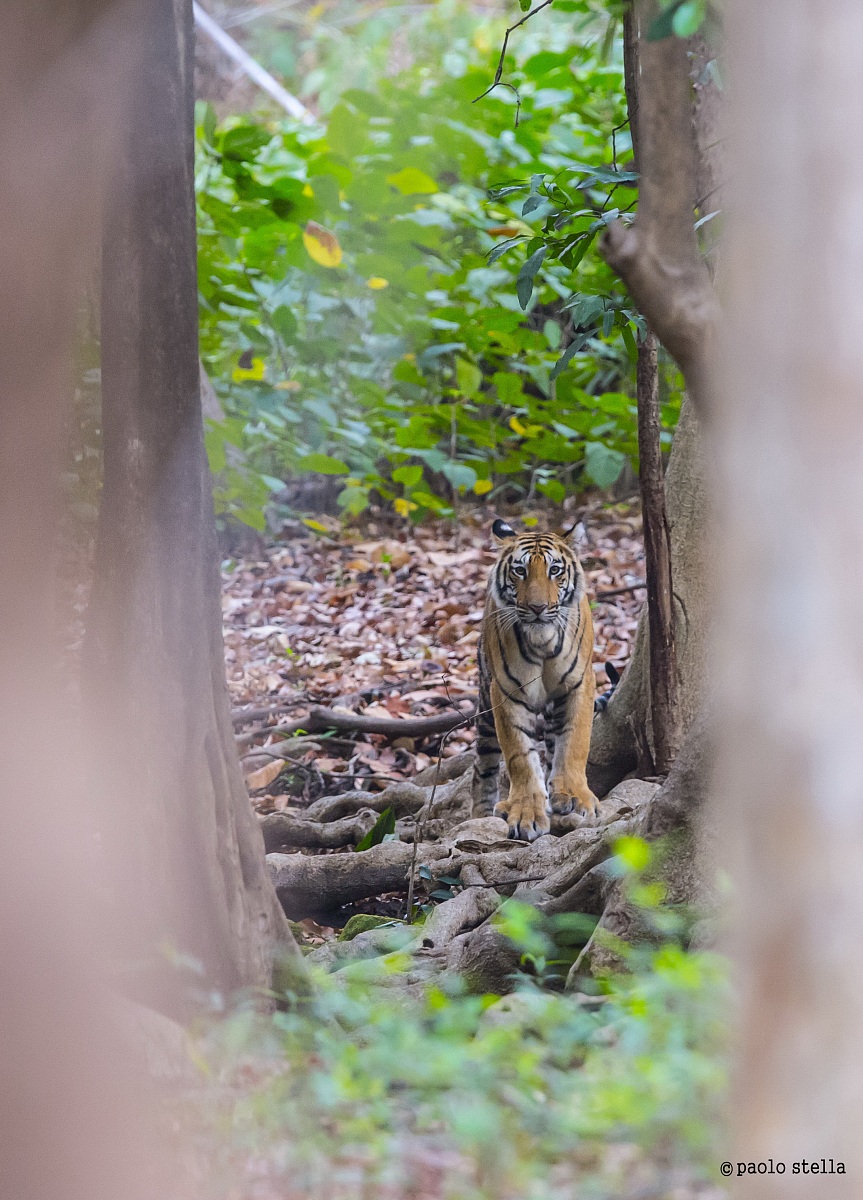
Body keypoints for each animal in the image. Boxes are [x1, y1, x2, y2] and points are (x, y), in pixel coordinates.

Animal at [472, 518, 598, 841]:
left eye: (555, 570)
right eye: (520, 571)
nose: (538, 608)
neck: (542, 640)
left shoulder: (580, 684)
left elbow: (575, 742)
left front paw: (575, 796)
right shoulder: (506, 692)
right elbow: (520, 756)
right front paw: (526, 813)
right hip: (484, 706)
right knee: (483, 765)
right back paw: (481, 813)